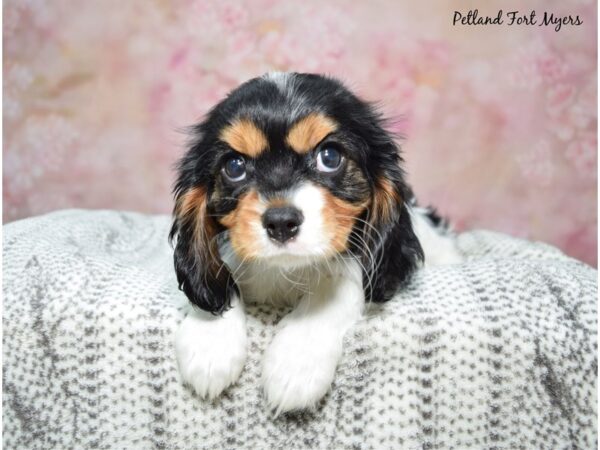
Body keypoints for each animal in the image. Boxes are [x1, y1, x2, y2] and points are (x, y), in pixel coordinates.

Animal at [171, 72, 462, 414]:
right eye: (234, 166)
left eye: (330, 157)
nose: (281, 221)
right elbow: (216, 280)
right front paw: (209, 342)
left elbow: (333, 291)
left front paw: (295, 364)